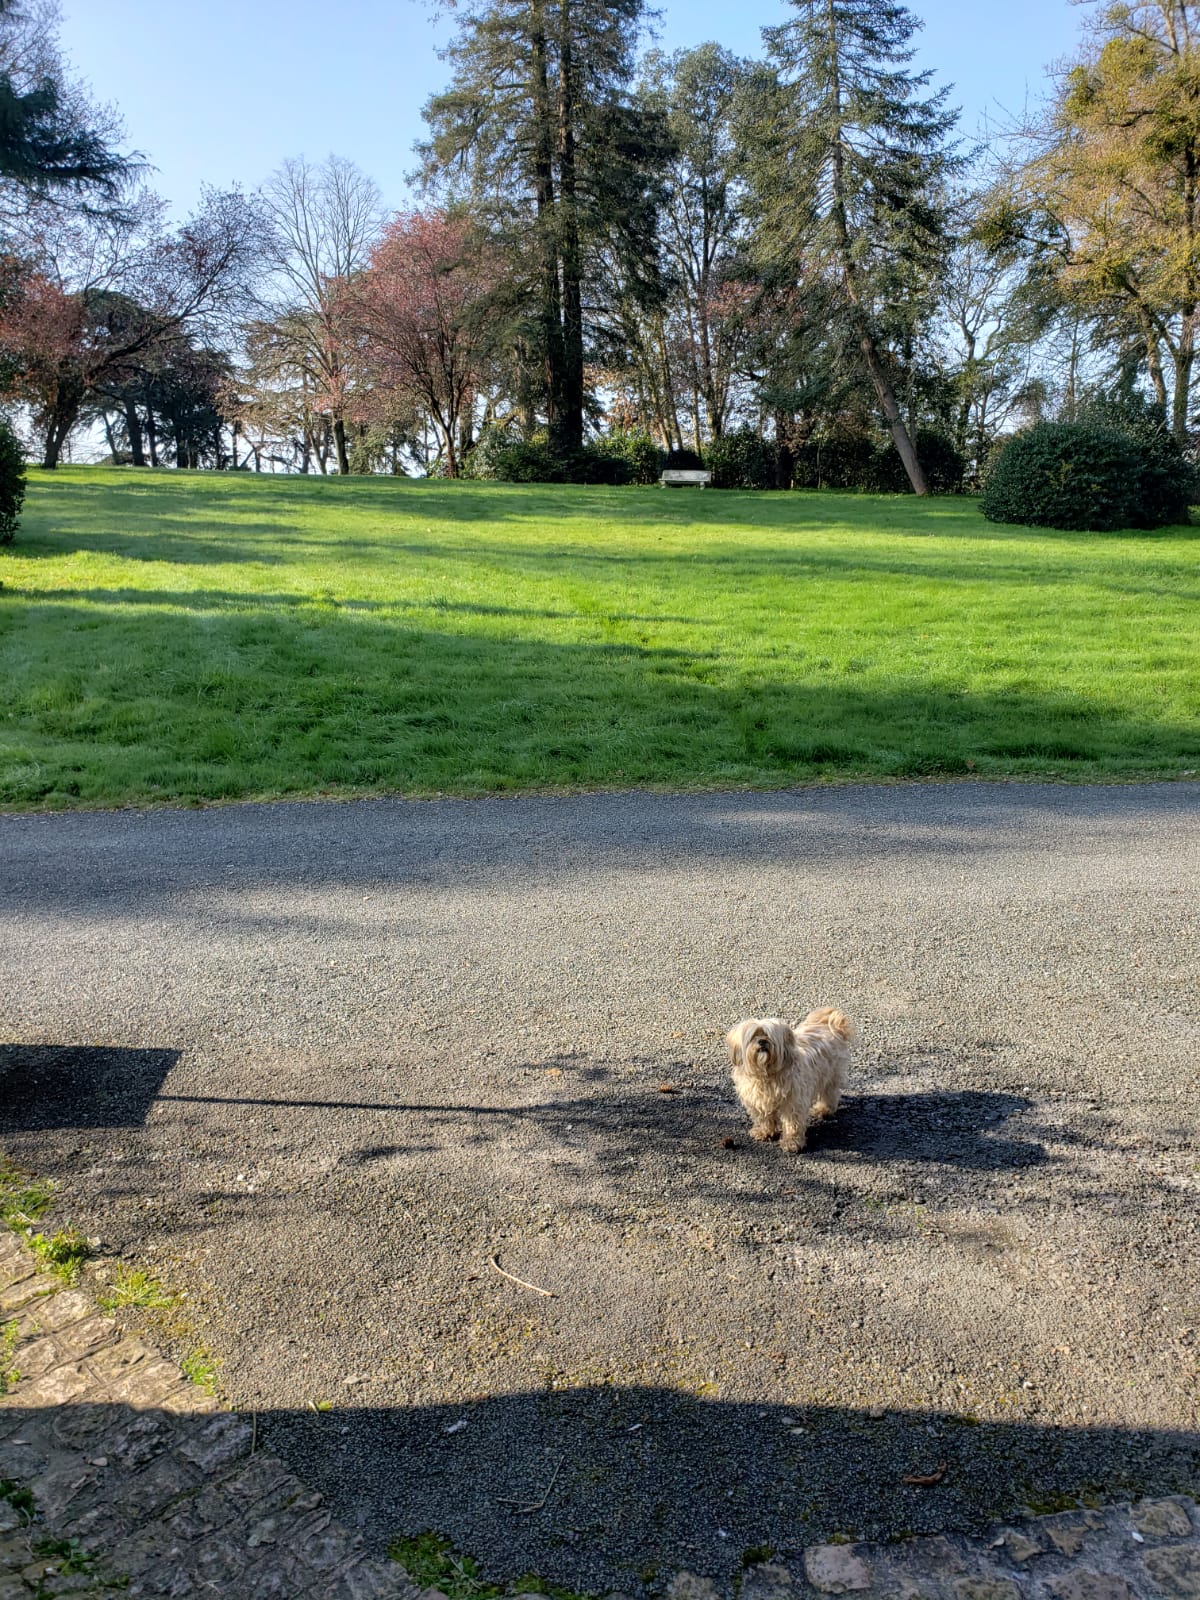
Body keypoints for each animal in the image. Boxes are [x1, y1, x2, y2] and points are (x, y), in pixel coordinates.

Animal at [729, 1011, 857, 1152]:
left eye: (768, 1035)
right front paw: (764, 1131)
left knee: (830, 1093)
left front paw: (792, 1142)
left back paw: (824, 1109)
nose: (762, 1041)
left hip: (831, 1075)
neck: (766, 1074)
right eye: (753, 1036)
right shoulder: (757, 1100)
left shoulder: (793, 1101)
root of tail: (830, 1024)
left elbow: (792, 1122)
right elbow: (764, 1117)